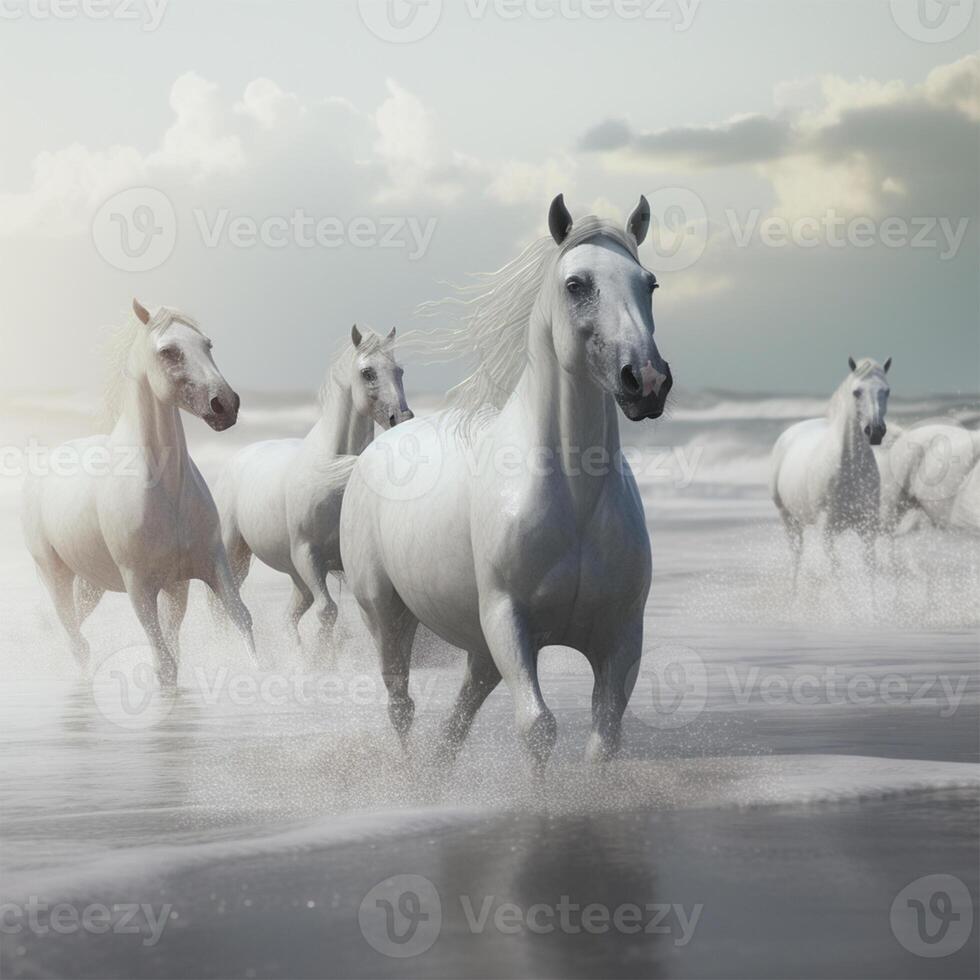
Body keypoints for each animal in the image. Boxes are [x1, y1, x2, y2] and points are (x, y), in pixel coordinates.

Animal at [23, 298, 260, 680]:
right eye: (169, 351)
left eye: (207, 345)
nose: (224, 404)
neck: (168, 493)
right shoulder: (140, 588)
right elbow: (164, 662)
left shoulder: (203, 570)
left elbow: (241, 621)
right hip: (55, 575)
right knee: (75, 640)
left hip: (96, 585)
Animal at [214, 328, 414, 660]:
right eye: (368, 372)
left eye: (399, 371)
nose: (403, 417)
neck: (333, 470)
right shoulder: (308, 554)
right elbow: (328, 612)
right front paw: (323, 659)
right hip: (236, 556)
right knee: (226, 607)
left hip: (298, 579)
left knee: (288, 618)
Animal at [338, 195, 672, 768]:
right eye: (576, 284)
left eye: (648, 283)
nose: (646, 382)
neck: (574, 501)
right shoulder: (507, 621)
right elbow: (538, 727)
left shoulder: (621, 637)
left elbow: (604, 738)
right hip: (387, 616)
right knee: (401, 704)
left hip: (478, 648)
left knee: (458, 715)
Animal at [768, 356, 892, 584]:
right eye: (856, 391)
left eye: (886, 390)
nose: (875, 431)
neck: (849, 470)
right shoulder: (826, 534)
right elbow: (836, 573)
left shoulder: (868, 530)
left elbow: (869, 570)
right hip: (788, 519)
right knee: (796, 557)